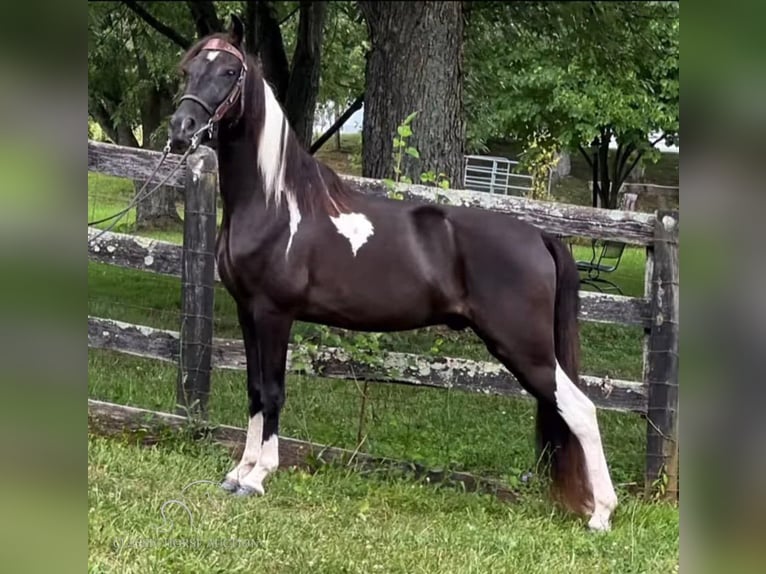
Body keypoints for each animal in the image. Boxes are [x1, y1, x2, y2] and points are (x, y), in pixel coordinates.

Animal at [166, 14, 616, 536]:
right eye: (189, 69)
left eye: (228, 72)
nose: (181, 130)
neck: (276, 204)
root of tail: (539, 236)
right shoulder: (246, 311)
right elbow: (256, 390)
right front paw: (238, 473)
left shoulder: (275, 314)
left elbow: (274, 391)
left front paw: (259, 477)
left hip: (526, 348)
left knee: (581, 409)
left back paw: (601, 514)